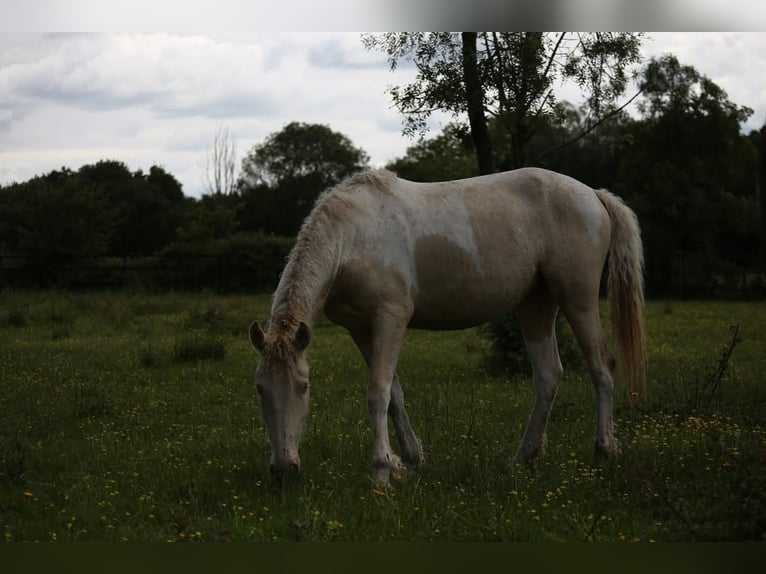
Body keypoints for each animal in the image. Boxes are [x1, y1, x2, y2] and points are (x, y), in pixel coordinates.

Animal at [248, 167, 646, 485]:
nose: (283, 468)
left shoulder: (390, 318)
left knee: (601, 367)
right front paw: (409, 460)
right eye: (260, 389)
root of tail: (593, 195)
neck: (353, 236)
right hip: (536, 303)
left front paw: (381, 472)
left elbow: (378, 393)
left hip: (577, 298)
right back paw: (523, 458)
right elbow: (395, 395)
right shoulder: (361, 330)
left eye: (303, 387)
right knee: (549, 375)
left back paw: (604, 450)